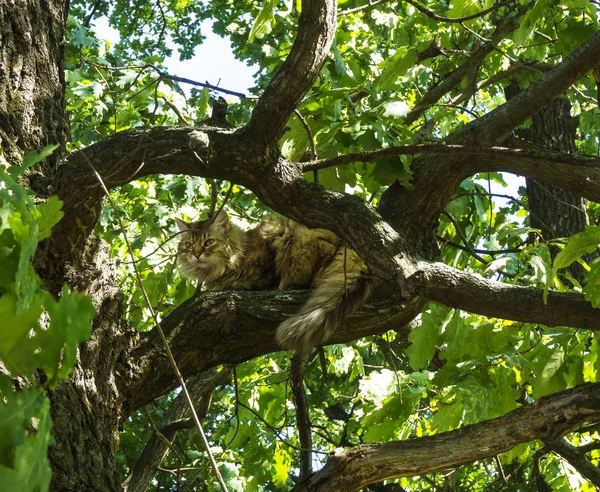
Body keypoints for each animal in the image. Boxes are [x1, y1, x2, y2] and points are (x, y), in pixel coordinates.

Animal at [175, 211, 370, 354]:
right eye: (188, 245)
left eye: (209, 242)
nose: (196, 254)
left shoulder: (269, 249)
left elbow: (264, 278)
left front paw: (243, 284)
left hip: (301, 238)